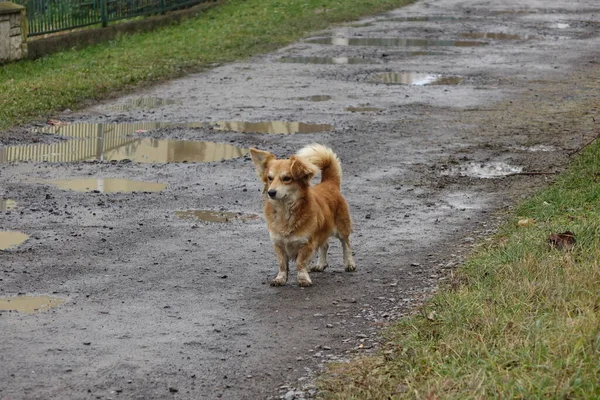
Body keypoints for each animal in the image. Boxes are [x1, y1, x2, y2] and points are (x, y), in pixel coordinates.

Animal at [250, 142, 356, 286]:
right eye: (270, 178)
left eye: (286, 178)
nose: (271, 192)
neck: (285, 210)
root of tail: (329, 183)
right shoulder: (278, 244)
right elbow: (282, 264)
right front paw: (280, 278)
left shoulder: (307, 244)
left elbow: (300, 263)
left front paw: (303, 279)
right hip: (322, 229)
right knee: (325, 245)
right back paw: (321, 264)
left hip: (341, 227)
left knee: (346, 244)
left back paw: (349, 263)